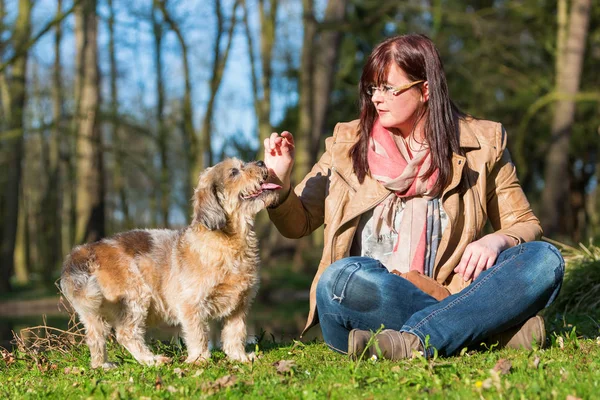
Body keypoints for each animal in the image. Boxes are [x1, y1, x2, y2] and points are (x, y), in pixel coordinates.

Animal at [59, 159, 280, 368]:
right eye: (234, 171)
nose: (261, 162)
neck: (229, 242)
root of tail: (86, 250)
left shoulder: (239, 306)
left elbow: (235, 333)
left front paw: (239, 357)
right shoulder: (191, 305)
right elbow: (198, 334)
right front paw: (199, 359)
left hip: (92, 313)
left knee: (95, 337)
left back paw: (103, 365)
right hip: (135, 299)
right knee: (126, 334)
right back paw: (152, 360)